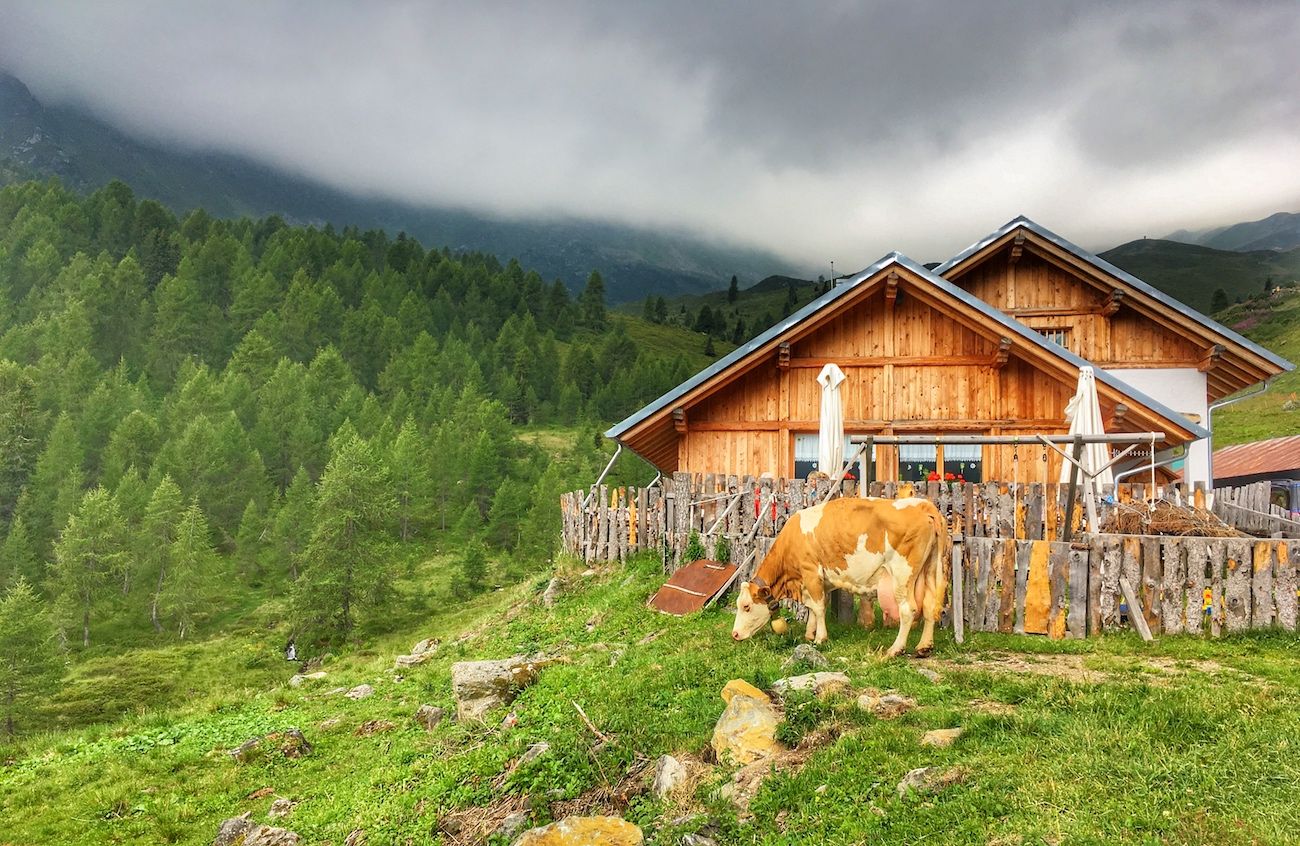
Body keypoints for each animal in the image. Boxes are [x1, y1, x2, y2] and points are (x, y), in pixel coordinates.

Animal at [733, 499, 956, 657]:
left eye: (746, 606)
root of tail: (924, 504)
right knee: (929, 606)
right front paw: (809, 634)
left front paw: (820, 638)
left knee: (908, 610)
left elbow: (818, 607)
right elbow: (814, 607)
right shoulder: (818, 581)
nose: (734, 634)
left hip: (902, 574)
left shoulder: (811, 572)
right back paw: (924, 646)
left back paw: (895, 649)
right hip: (929, 570)